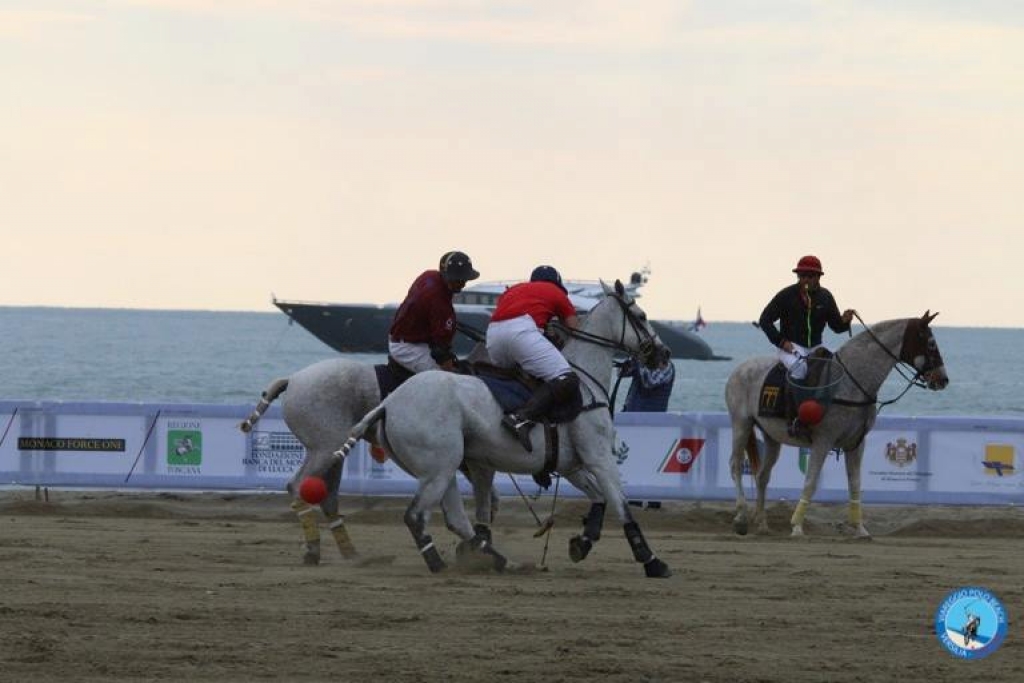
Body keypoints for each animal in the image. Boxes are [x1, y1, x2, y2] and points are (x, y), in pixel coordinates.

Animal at [323, 282, 671, 577]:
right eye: (641, 316)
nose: (663, 353)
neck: (585, 381)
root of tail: (388, 403)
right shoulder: (599, 457)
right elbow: (621, 505)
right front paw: (651, 560)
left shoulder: (570, 465)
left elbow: (598, 499)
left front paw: (582, 543)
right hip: (440, 467)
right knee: (416, 515)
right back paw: (441, 563)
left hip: (441, 467)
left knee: (455, 517)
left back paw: (497, 560)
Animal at [724, 311, 946, 540]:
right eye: (931, 343)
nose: (943, 379)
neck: (850, 382)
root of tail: (740, 368)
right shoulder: (823, 442)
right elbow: (811, 482)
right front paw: (797, 526)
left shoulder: (856, 444)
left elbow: (855, 485)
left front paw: (860, 529)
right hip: (741, 425)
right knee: (735, 466)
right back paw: (741, 517)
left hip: (772, 438)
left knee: (762, 476)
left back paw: (762, 524)